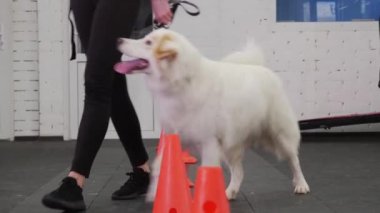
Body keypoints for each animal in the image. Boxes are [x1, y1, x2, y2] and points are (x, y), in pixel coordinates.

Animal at [114, 29, 310, 201]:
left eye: (148, 42)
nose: (118, 40)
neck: (182, 83)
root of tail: (260, 67)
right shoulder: (173, 136)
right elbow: (159, 165)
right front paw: (157, 193)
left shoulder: (209, 142)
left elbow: (208, 171)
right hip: (231, 145)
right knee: (239, 172)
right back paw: (229, 192)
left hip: (280, 135)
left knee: (294, 160)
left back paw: (301, 185)